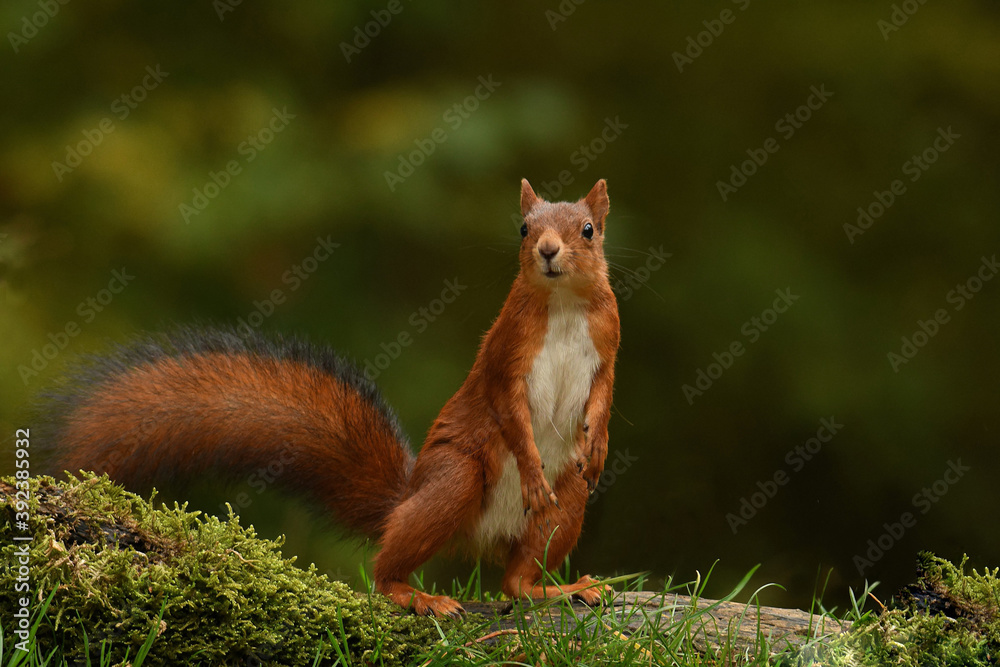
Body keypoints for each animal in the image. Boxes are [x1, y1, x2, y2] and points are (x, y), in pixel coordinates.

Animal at [41, 178, 620, 618]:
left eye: (588, 230)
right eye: (523, 229)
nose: (547, 250)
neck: (562, 304)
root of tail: (407, 499)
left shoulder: (608, 345)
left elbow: (603, 396)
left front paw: (599, 444)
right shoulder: (504, 356)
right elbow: (510, 410)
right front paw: (530, 465)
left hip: (567, 501)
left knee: (517, 579)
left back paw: (559, 588)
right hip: (455, 479)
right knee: (387, 568)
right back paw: (414, 595)